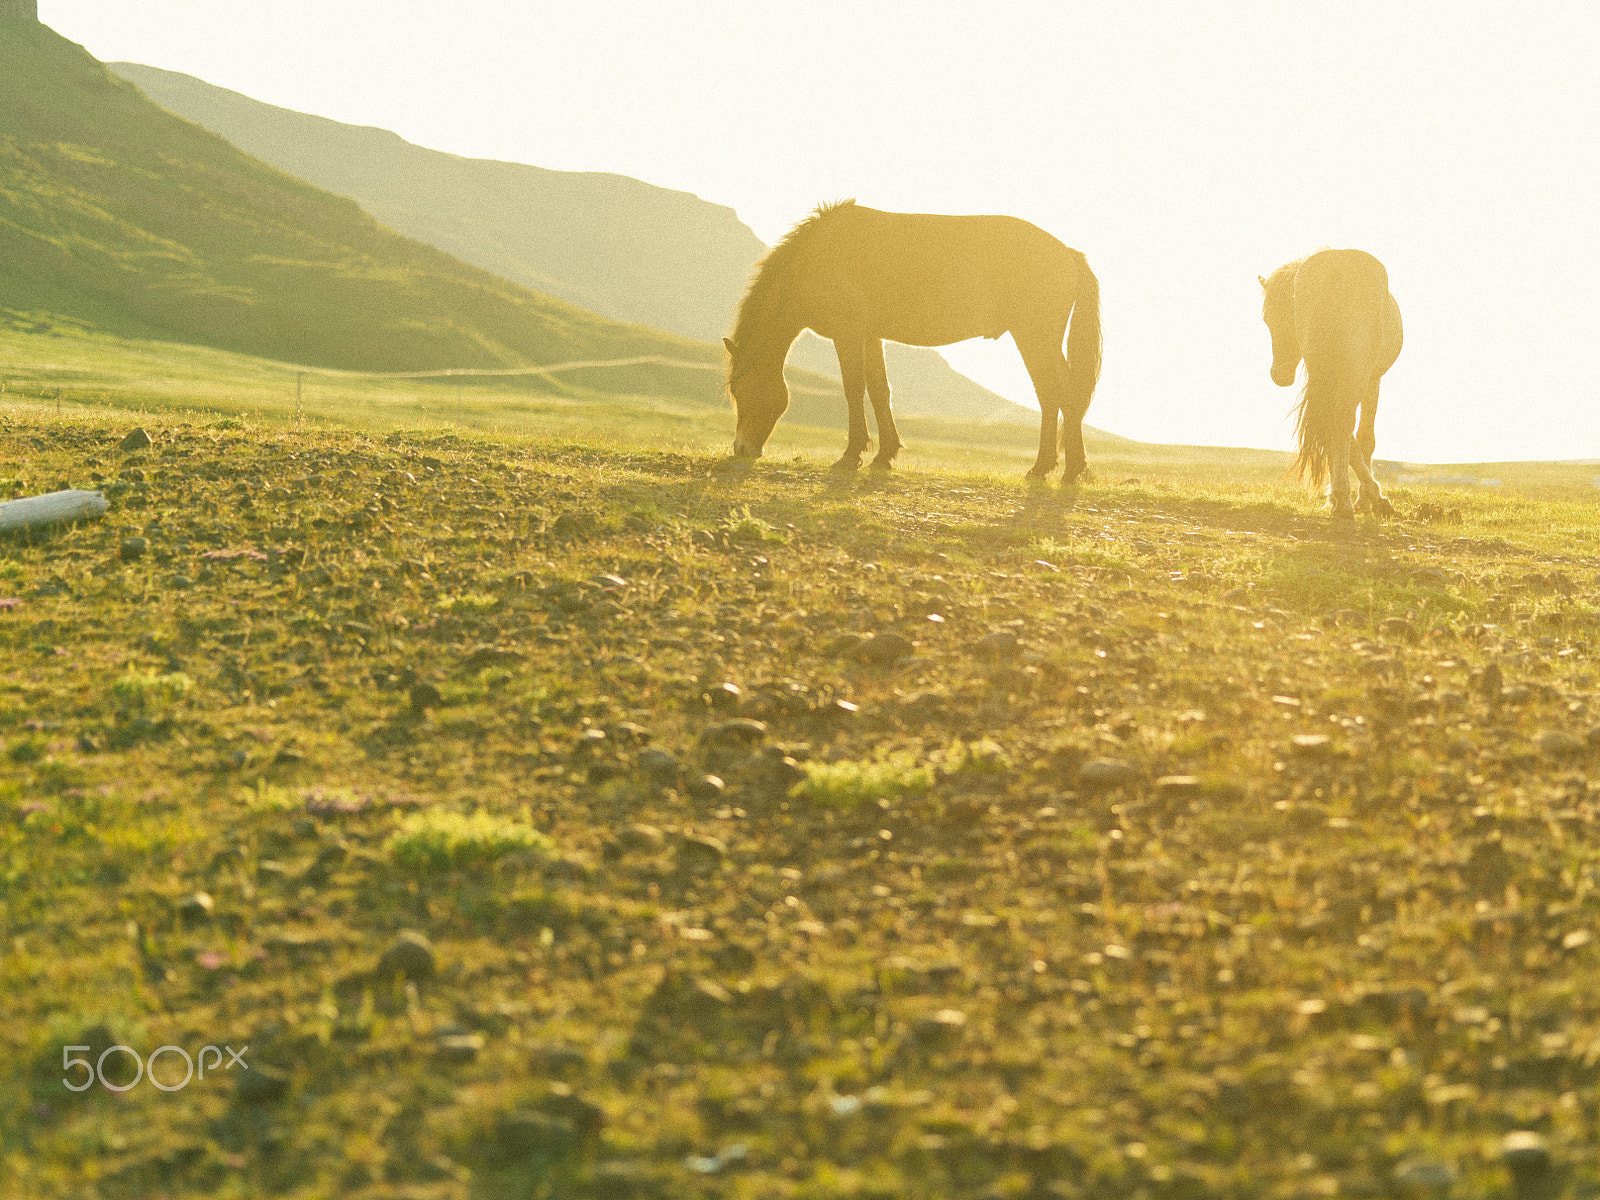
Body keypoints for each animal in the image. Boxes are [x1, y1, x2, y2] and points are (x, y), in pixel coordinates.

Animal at [726, 200, 1100, 483]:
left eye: (742, 392)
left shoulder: (848, 333)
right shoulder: (870, 335)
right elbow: (879, 390)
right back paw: (1046, 467)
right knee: (1051, 396)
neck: (814, 259)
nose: (741, 449)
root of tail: (1069, 253)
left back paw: (1066, 470)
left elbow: (853, 388)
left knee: (1062, 394)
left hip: (1036, 337)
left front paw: (850, 455)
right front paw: (884, 455)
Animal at [1260, 249, 1401, 518]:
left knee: (1330, 427)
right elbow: (1364, 439)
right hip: (1355, 375)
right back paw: (1349, 500)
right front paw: (1366, 499)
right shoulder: (1372, 379)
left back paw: (1342, 498)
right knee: (1341, 425)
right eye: (1266, 319)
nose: (1279, 375)